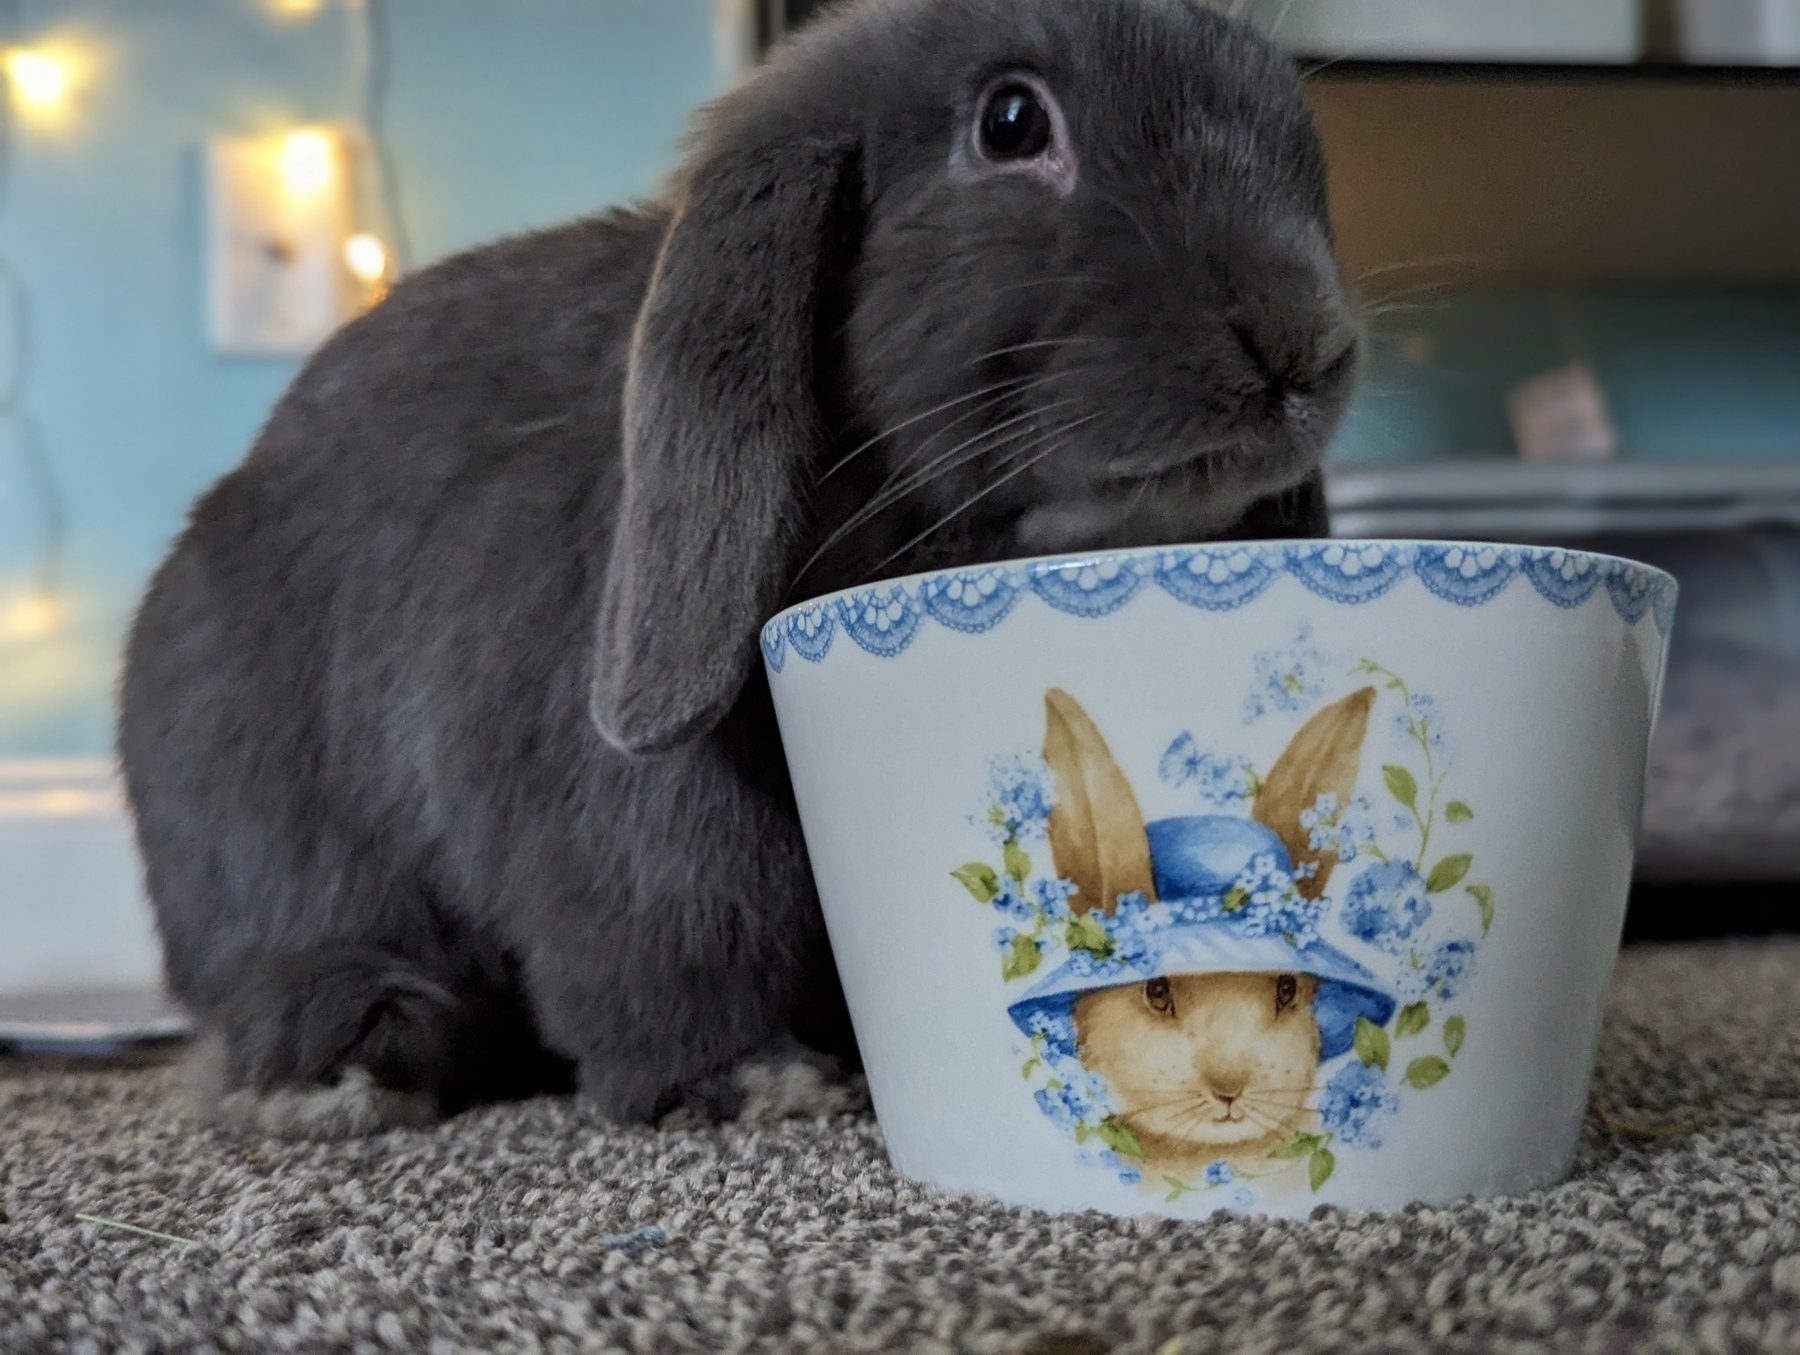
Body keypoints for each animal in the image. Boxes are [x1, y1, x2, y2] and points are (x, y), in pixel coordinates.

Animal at [118, 0, 1361, 1139]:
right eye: (1011, 123)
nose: (1302, 344)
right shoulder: (648, 836)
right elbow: (674, 943)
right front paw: (762, 1081)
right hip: (272, 843)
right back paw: (340, 1072)